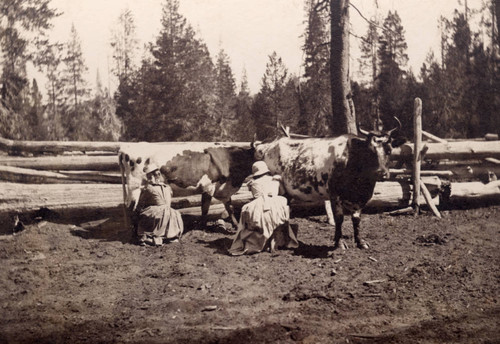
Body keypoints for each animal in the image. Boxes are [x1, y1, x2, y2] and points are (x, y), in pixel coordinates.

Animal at [119, 142, 256, 228]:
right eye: (259, 153)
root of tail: (125, 149)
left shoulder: (222, 190)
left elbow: (230, 208)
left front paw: (236, 225)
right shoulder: (208, 187)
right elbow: (205, 208)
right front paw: (202, 226)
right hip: (134, 187)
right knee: (130, 207)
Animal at [256, 123, 404, 250]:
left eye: (389, 150)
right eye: (369, 151)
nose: (381, 173)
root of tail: (267, 144)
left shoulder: (360, 198)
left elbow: (356, 219)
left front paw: (360, 242)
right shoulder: (335, 194)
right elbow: (339, 218)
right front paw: (339, 243)